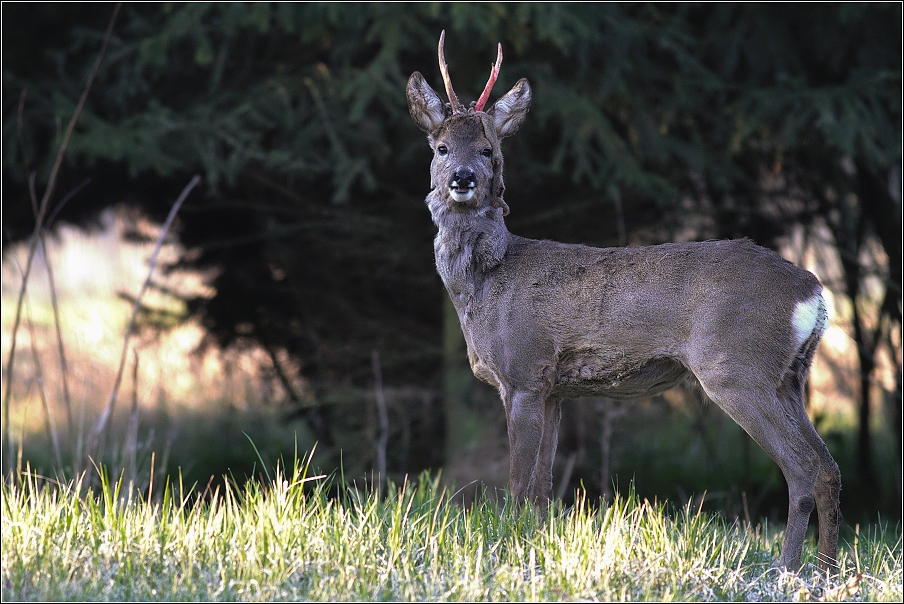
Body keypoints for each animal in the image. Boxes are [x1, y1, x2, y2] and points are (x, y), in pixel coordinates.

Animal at [406, 33, 844, 572]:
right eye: (441, 147)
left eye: (488, 150)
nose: (462, 177)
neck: (486, 286)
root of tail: (814, 292)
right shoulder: (554, 389)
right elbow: (541, 489)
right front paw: (536, 548)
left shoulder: (523, 371)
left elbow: (517, 485)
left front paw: (508, 550)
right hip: (791, 377)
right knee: (827, 466)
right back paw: (827, 570)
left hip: (736, 367)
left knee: (801, 467)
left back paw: (786, 568)